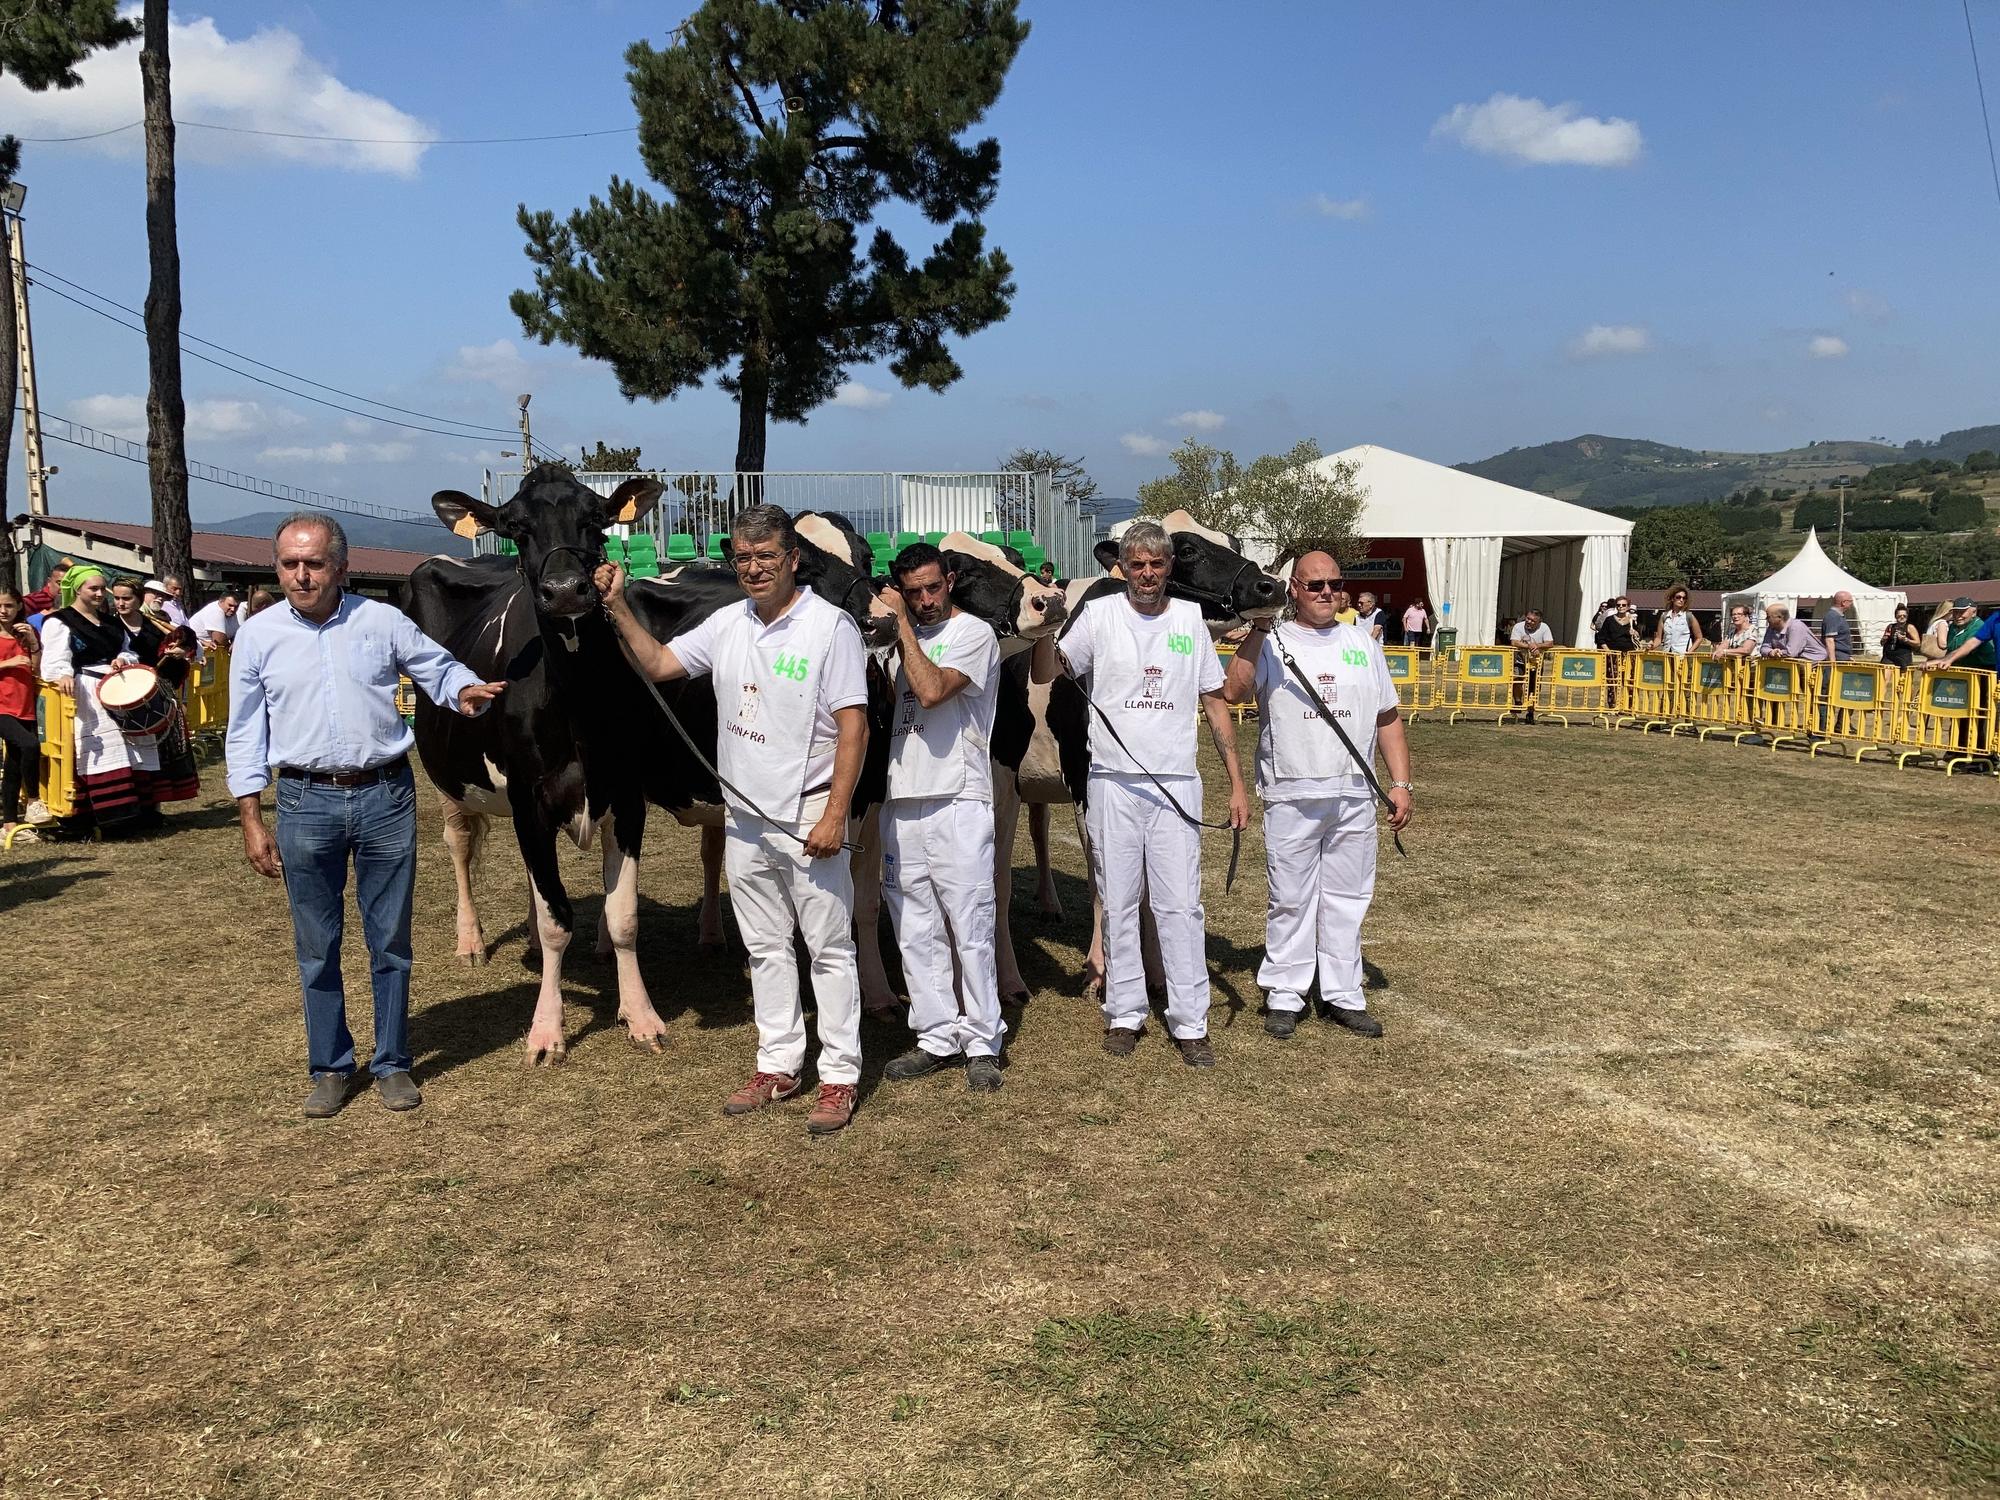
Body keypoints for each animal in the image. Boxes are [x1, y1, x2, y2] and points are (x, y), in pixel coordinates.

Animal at [406, 470, 892, 1072]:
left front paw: (877, 994)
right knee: (459, 844)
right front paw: (547, 1032)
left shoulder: (868, 796)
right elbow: (556, 917)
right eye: (515, 527)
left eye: (868, 556)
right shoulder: (531, 798)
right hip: (448, 777)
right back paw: (472, 942)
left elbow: (863, 906)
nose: (879, 620)